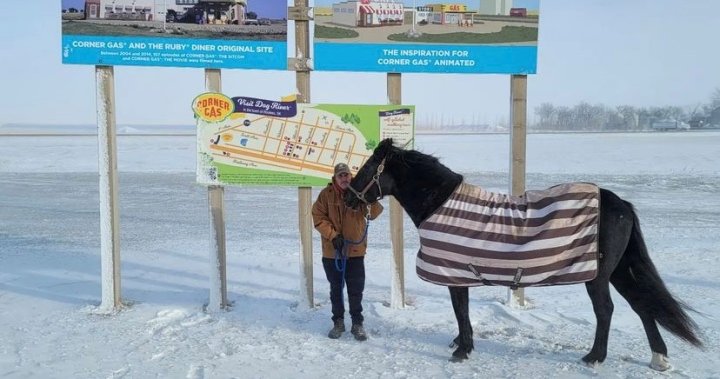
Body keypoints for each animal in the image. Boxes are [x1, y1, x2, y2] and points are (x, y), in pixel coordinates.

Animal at [346, 139, 700, 372]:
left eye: (367, 167)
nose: (348, 198)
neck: (441, 204)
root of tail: (620, 203)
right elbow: (462, 313)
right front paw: (461, 343)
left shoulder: (456, 274)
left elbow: (461, 312)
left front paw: (463, 349)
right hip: (619, 271)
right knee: (642, 306)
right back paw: (659, 358)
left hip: (598, 275)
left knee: (606, 310)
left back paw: (594, 357)